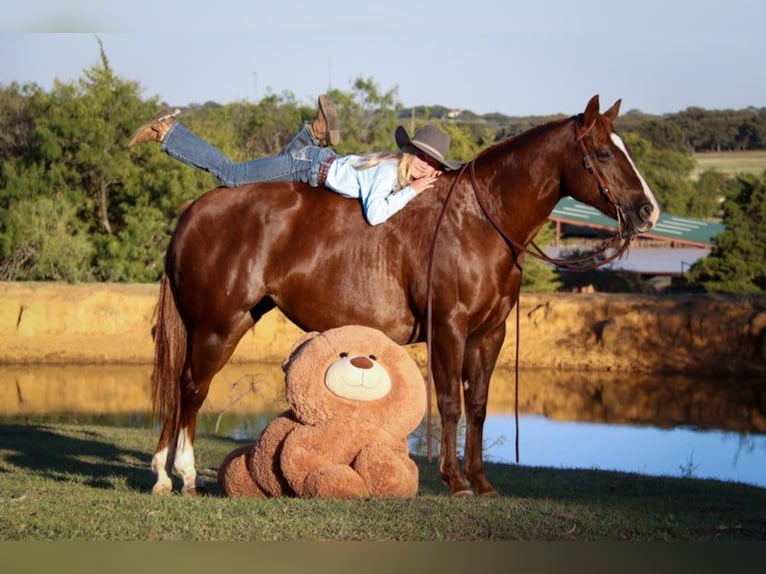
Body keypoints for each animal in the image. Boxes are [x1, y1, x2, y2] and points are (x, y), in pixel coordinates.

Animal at [148, 92, 660, 498]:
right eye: (603, 153)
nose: (648, 212)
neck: (477, 223)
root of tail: (195, 210)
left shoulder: (489, 334)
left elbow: (477, 406)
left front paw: (481, 482)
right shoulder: (449, 328)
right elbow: (450, 403)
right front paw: (455, 481)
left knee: (181, 387)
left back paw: (164, 474)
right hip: (217, 326)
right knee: (191, 388)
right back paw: (181, 476)